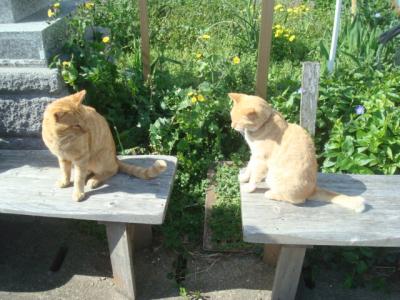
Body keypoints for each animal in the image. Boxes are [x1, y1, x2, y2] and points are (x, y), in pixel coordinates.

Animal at [231, 92, 366, 212]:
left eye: (237, 121)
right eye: (231, 117)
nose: (232, 126)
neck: (266, 123)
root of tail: (313, 189)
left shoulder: (261, 161)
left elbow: (254, 177)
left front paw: (249, 187)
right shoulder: (254, 155)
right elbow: (249, 168)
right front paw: (243, 178)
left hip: (275, 179)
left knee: (298, 200)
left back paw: (271, 194)